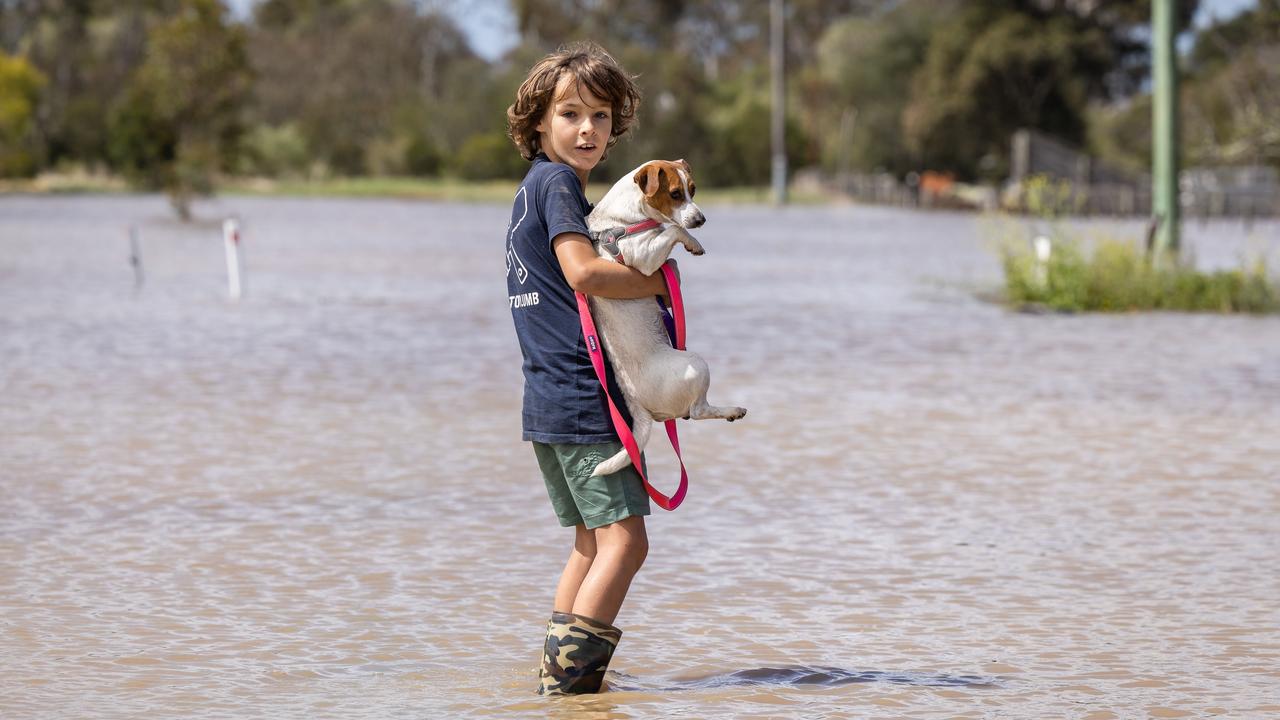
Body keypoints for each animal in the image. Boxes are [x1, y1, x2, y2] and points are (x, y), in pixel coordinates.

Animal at [586, 156, 747, 476]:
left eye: (693, 190)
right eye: (674, 193)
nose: (700, 220)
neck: (628, 218)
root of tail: (637, 408)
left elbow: (670, 243)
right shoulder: (643, 260)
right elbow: (672, 231)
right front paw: (693, 242)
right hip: (697, 365)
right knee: (697, 411)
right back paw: (732, 410)